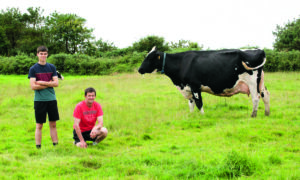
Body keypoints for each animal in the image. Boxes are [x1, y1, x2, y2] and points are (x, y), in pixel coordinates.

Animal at [139, 46, 270, 117]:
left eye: (149, 58)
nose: (139, 69)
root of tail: (259, 50)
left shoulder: (195, 86)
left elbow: (198, 103)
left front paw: (203, 116)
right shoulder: (188, 88)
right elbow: (191, 104)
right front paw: (191, 116)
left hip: (252, 82)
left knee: (256, 98)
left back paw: (253, 115)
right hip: (260, 82)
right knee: (265, 95)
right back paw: (267, 113)